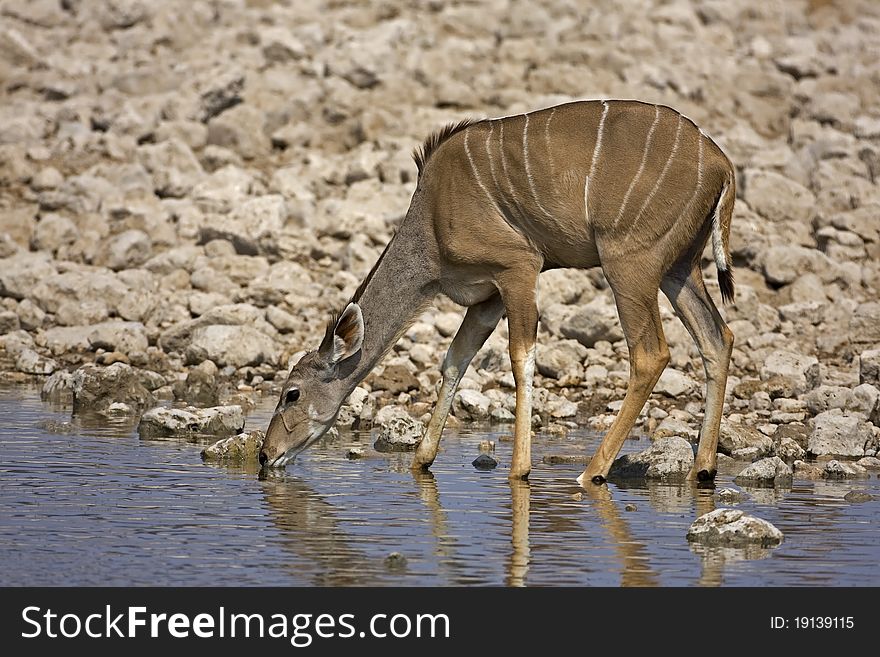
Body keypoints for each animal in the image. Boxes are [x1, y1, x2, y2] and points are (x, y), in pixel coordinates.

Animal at [262, 100, 736, 484]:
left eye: (292, 393)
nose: (266, 455)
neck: (432, 219)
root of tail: (720, 163)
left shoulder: (519, 267)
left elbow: (520, 357)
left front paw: (519, 470)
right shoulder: (487, 297)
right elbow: (455, 360)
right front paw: (421, 460)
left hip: (627, 264)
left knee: (651, 353)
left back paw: (592, 473)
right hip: (678, 269)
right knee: (717, 338)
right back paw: (702, 469)